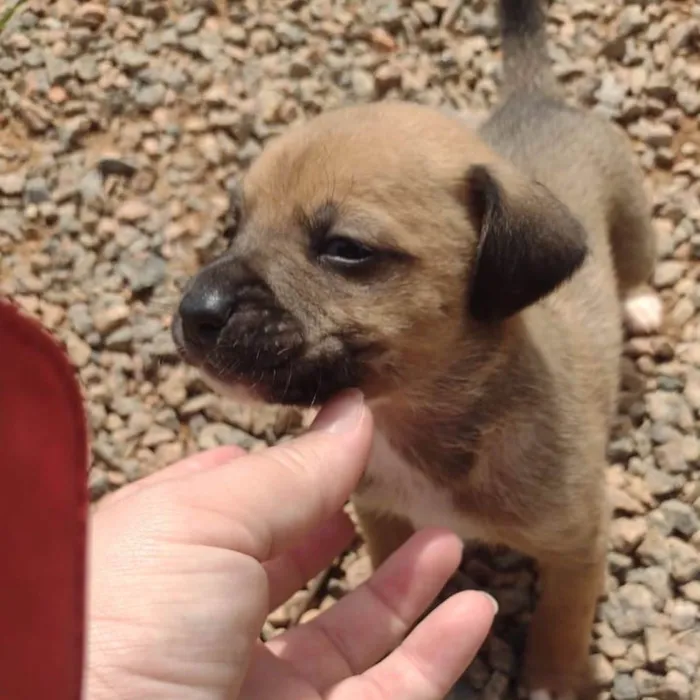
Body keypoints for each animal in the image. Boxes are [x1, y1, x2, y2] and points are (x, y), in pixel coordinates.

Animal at [171, 2, 660, 696]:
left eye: (345, 249)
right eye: (233, 226)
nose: (194, 312)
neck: (412, 421)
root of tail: (536, 99)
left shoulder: (578, 544)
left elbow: (561, 620)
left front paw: (550, 677)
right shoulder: (383, 516)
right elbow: (395, 573)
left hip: (634, 220)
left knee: (639, 265)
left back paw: (640, 305)